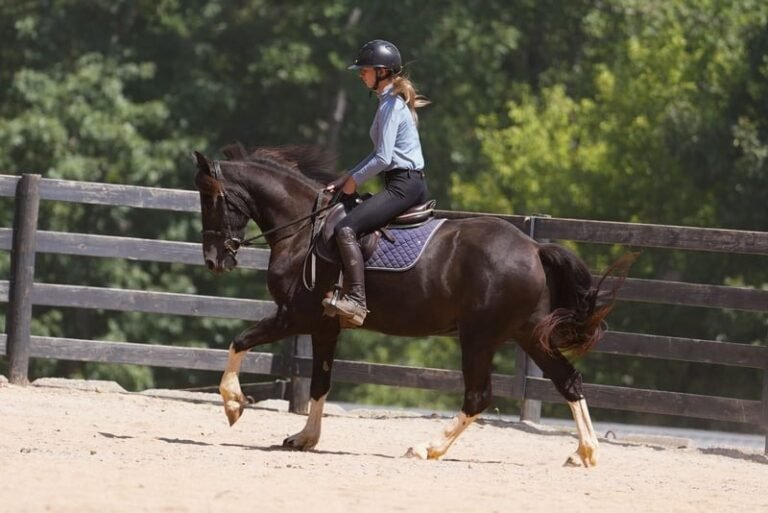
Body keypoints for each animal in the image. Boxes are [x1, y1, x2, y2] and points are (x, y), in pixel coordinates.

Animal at [193, 145, 632, 467]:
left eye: (211, 199)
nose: (214, 260)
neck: (304, 231)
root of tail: (535, 248)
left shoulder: (296, 316)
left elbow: (240, 341)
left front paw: (233, 404)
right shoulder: (324, 326)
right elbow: (319, 382)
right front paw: (305, 437)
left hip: (478, 337)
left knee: (478, 396)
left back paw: (427, 448)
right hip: (528, 335)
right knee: (568, 381)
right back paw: (584, 453)